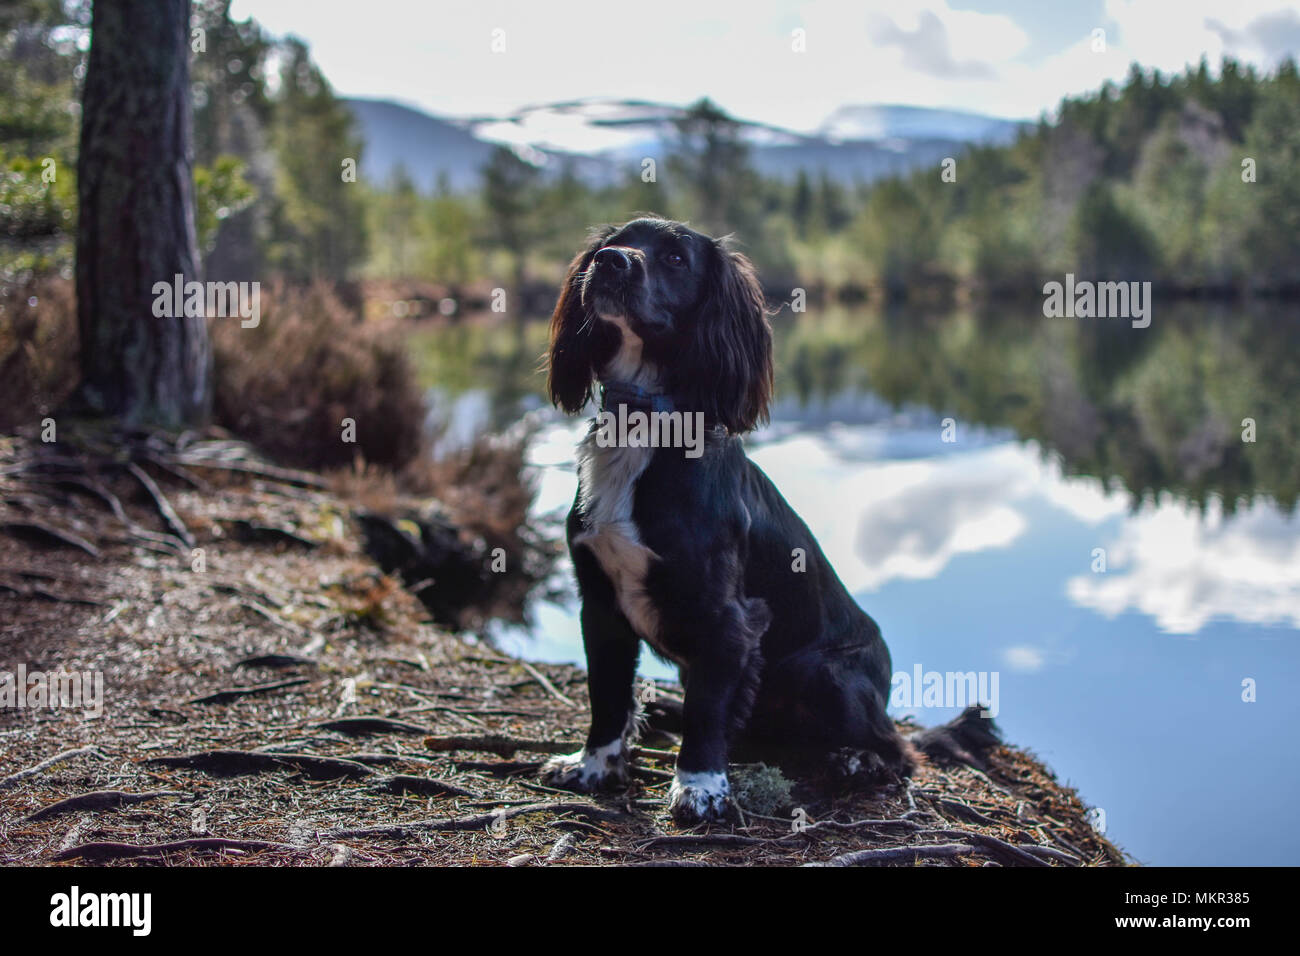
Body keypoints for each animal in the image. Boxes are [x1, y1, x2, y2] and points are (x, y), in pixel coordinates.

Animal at [538, 214, 993, 822]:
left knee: (900, 749)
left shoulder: (729, 619)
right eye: (615, 242)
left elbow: (708, 712)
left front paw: (700, 787)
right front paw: (593, 767)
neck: (645, 423)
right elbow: (606, 698)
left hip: (822, 671)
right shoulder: (601, 604)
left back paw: (858, 760)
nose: (610, 262)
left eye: (676, 258)